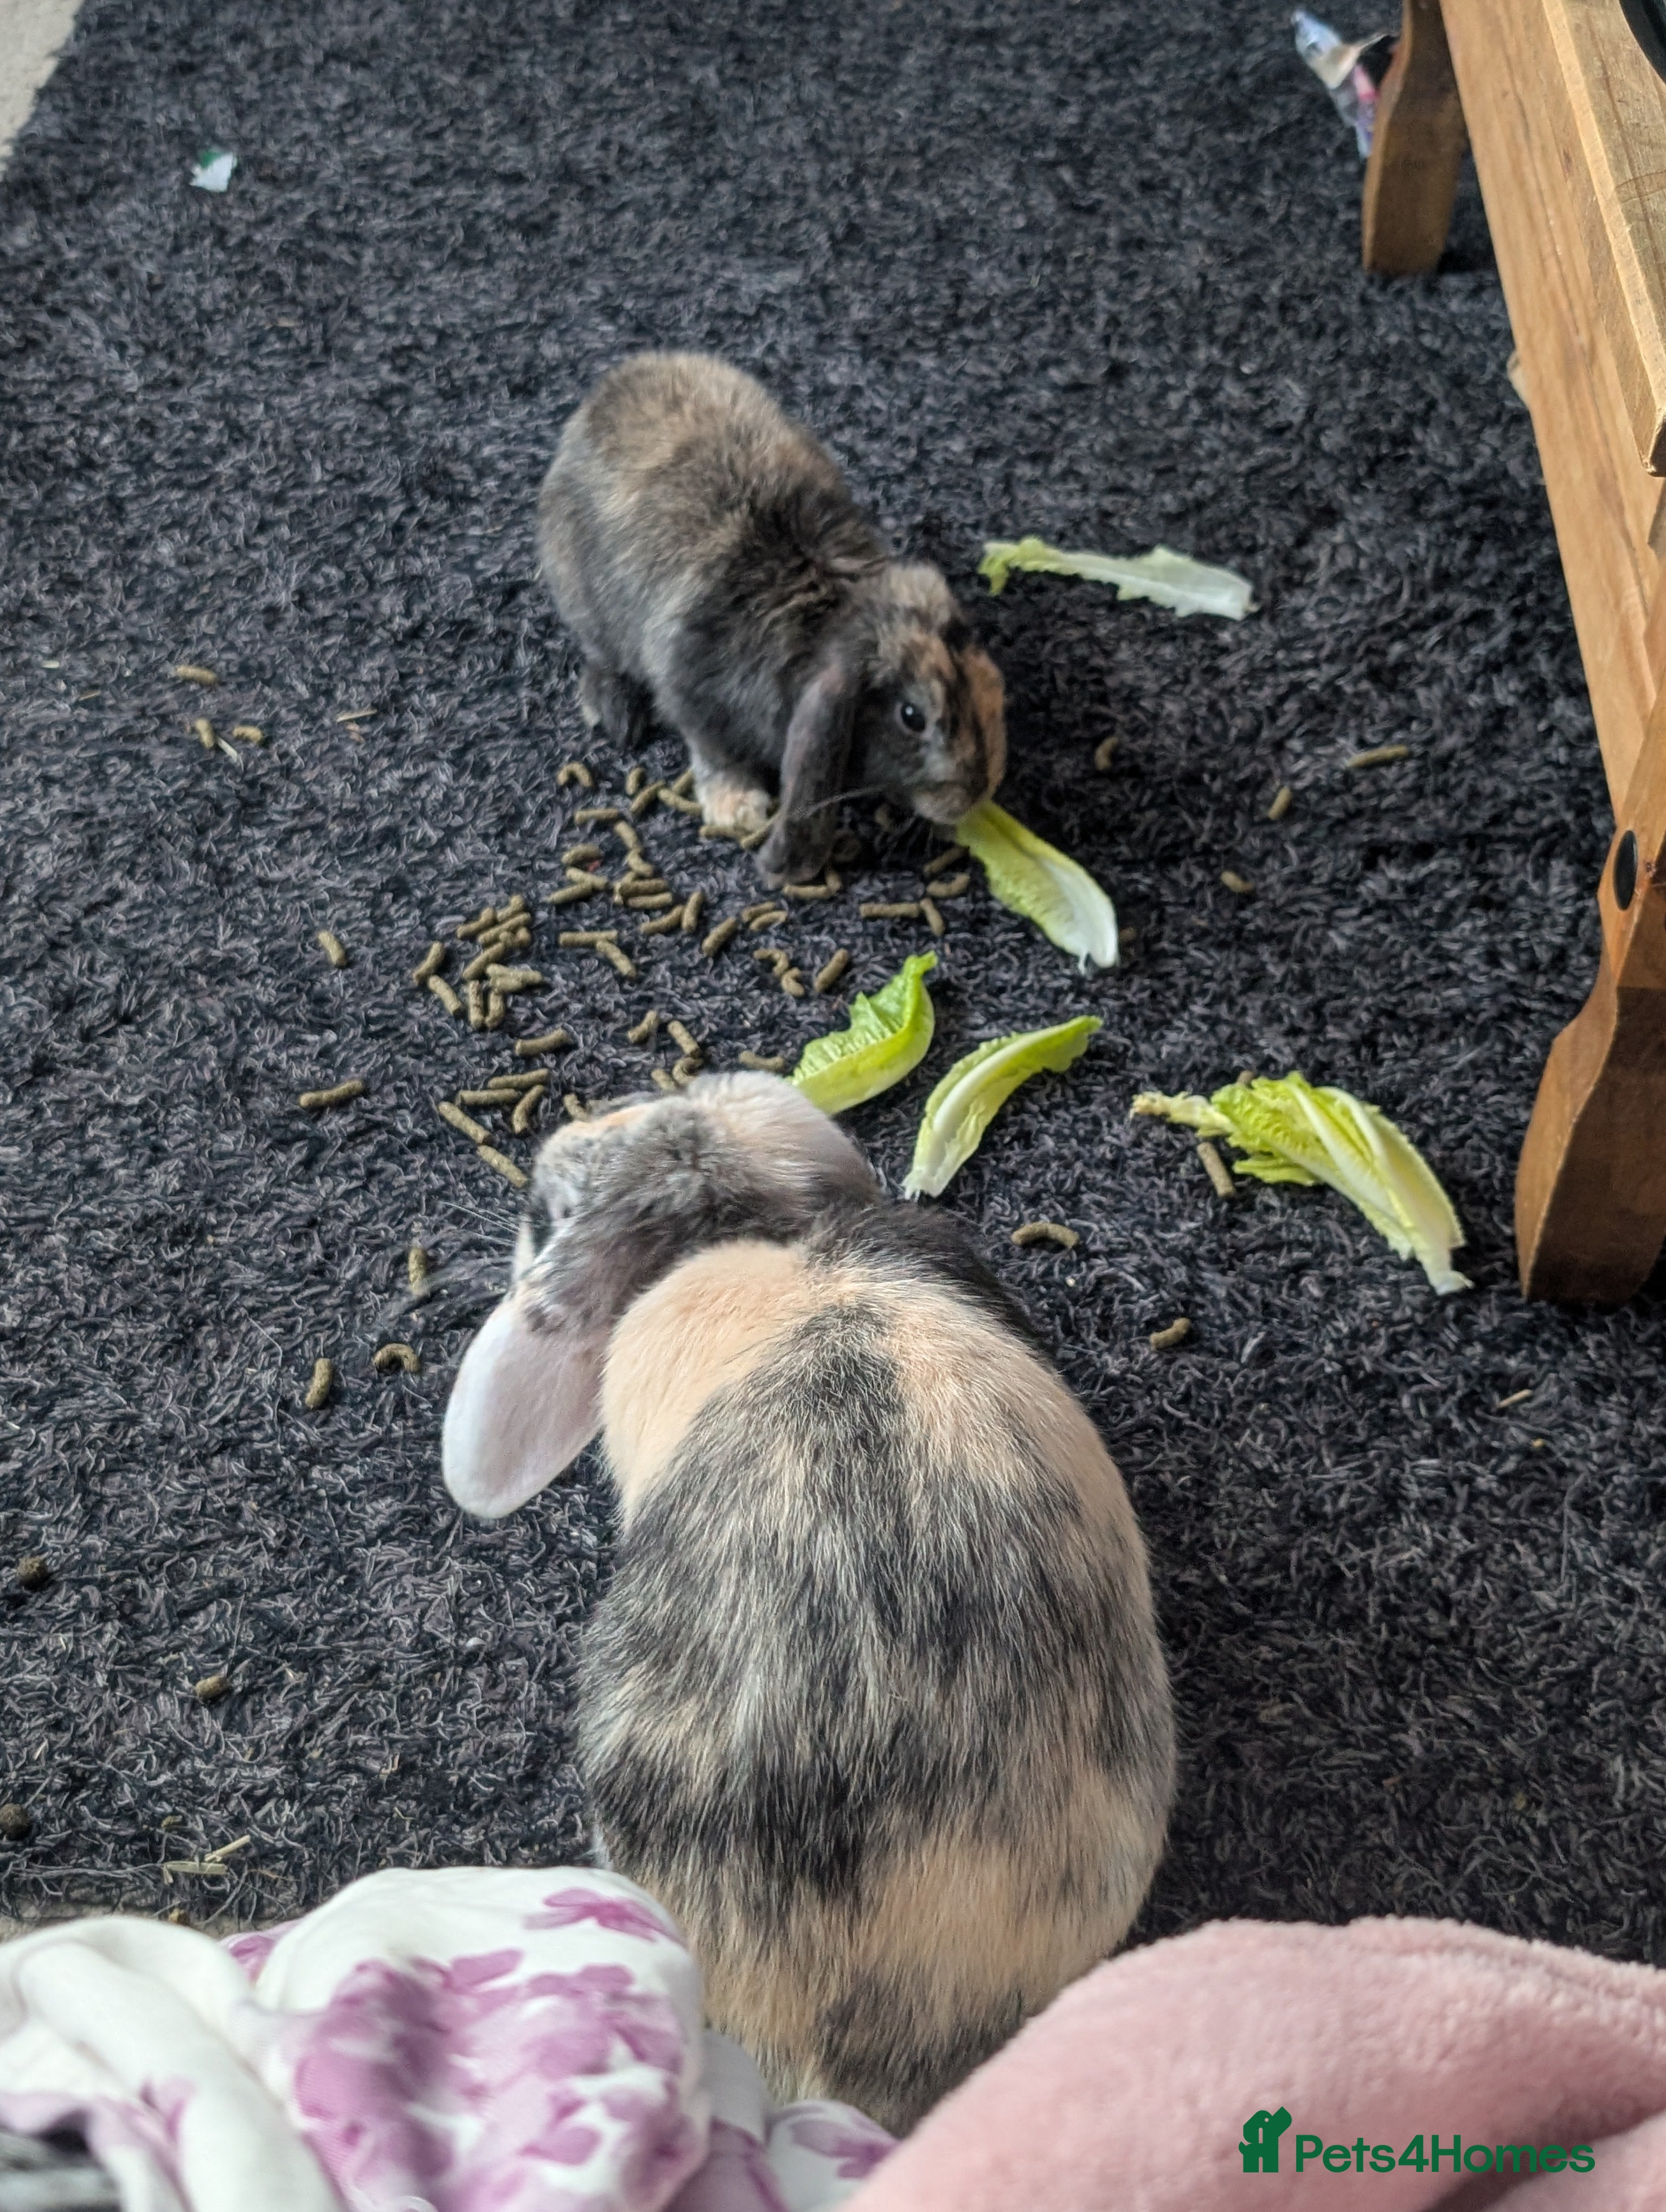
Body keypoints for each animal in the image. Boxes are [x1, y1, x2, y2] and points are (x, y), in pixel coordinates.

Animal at [537, 353, 1007, 884]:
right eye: (912, 717)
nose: (978, 792)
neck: (821, 619)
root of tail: (607, 389)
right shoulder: (693, 696)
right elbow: (717, 754)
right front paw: (738, 810)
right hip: (581, 597)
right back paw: (615, 710)